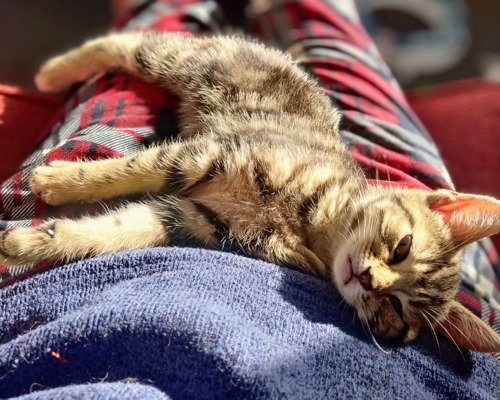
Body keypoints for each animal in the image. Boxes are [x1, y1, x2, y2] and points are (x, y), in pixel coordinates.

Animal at [0, 34, 500, 354]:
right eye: (402, 246)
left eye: (397, 310)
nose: (369, 279)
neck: (309, 226)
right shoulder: (206, 155)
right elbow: (125, 170)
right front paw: (57, 180)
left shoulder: (195, 220)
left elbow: (113, 231)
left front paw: (26, 241)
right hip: (179, 61)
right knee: (133, 39)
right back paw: (55, 72)